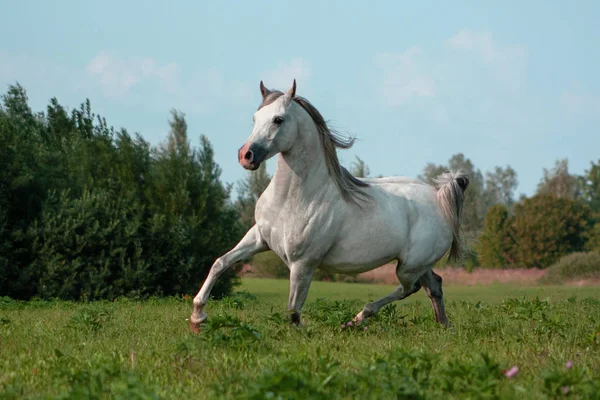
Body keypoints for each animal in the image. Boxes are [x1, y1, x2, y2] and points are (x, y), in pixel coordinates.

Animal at [190, 79, 472, 332]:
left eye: (278, 119)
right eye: (255, 117)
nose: (246, 156)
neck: (293, 199)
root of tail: (438, 196)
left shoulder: (303, 263)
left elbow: (293, 309)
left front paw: (297, 334)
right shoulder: (259, 237)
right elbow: (220, 263)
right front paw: (197, 317)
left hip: (409, 266)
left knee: (408, 288)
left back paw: (357, 319)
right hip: (419, 264)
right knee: (434, 285)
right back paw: (444, 326)